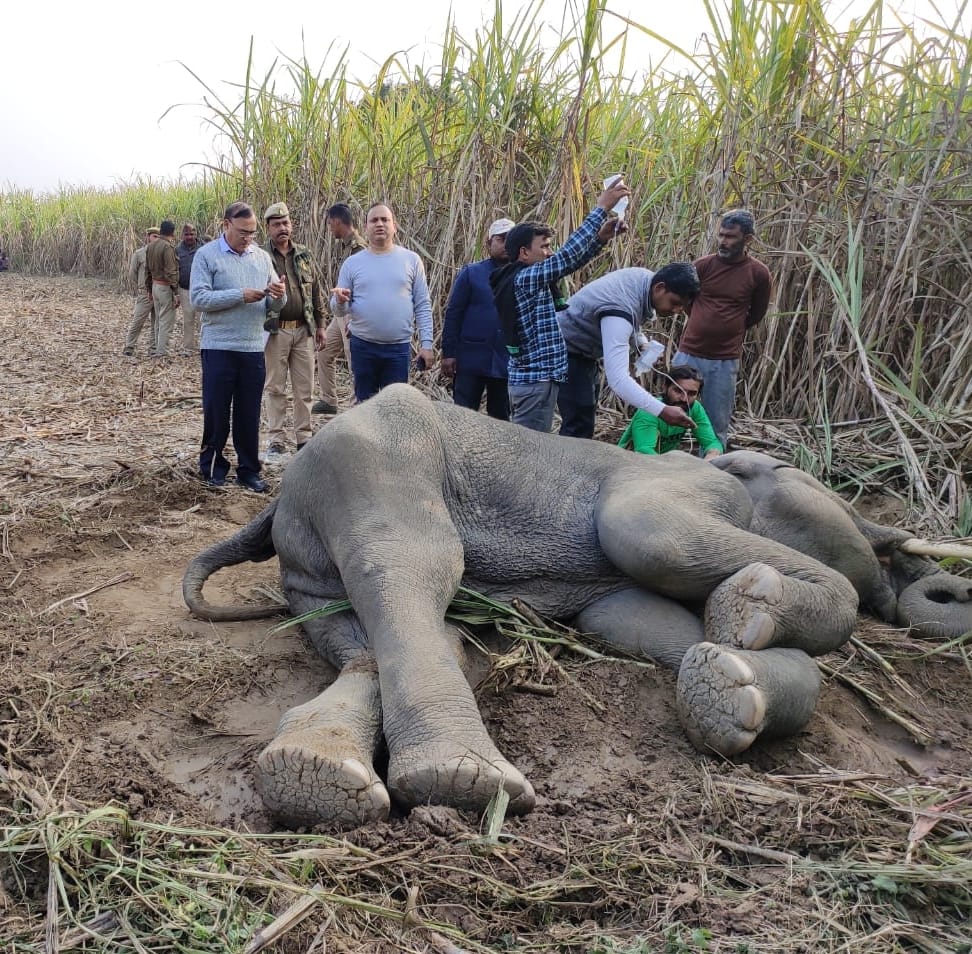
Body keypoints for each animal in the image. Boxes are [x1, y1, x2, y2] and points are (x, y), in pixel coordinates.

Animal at [182, 385, 971, 830]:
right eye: (805, 482)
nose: (931, 579)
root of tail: (283, 491)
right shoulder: (675, 490)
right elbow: (650, 534)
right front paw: (755, 599)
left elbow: (652, 627)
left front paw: (725, 681)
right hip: (378, 461)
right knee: (408, 568)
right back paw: (464, 786)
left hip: (311, 565)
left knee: (361, 636)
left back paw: (314, 779)